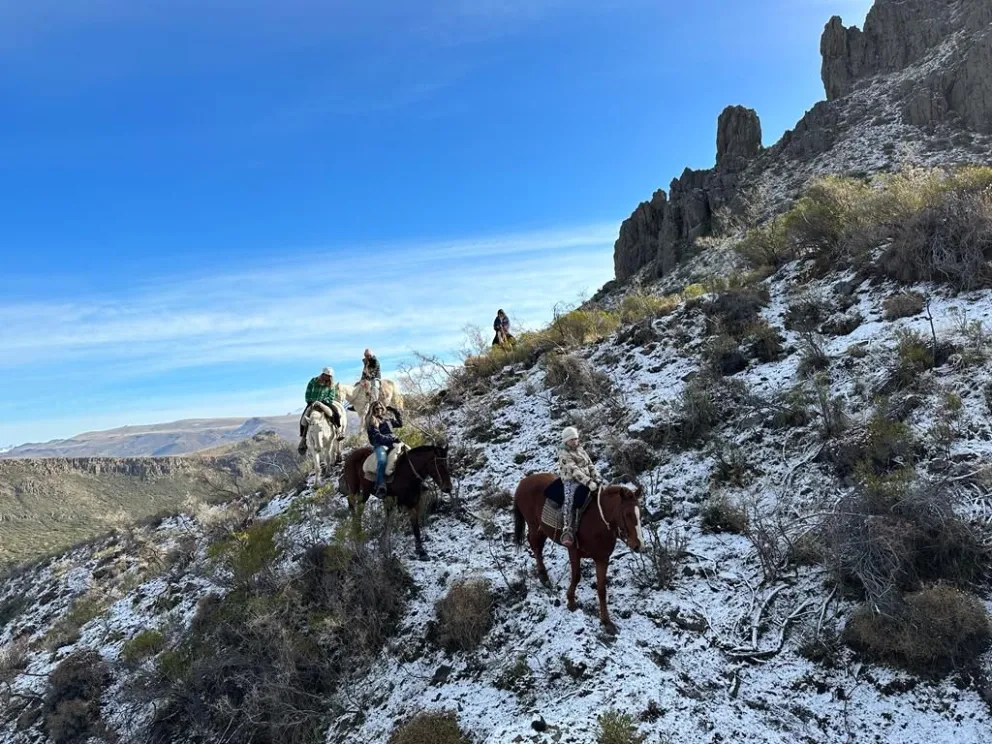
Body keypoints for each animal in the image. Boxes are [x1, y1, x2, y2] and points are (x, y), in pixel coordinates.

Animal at [513, 473, 644, 634]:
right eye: (627, 514)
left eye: (639, 514)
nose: (638, 545)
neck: (597, 521)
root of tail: (523, 482)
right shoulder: (574, 551)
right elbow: (576, 576)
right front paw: (571, 602)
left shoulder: (602, 558)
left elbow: (601, 589)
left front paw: (606, 621)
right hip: (533, 524)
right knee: (535, 546)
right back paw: (543, 576)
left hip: (542, 528)